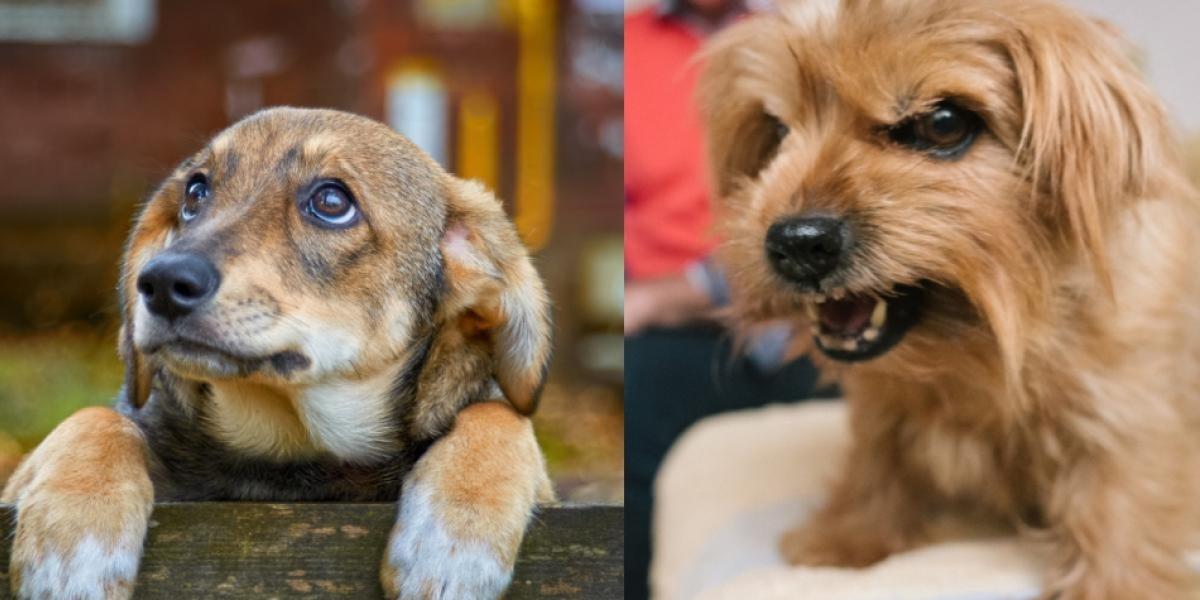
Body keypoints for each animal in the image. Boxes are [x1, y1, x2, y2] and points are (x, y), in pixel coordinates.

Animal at [0, 108, 552, 600]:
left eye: (331, 200)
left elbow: (500, 415)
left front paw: (455, 544)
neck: (288, 450)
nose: (159, 282)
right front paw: (73, 544)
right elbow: (97, 417)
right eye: (196, 192)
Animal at [700, 0, 1200, 597]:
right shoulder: (884, 406)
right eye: (776, 130)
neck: (987, 349)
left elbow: (1121, 493)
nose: (796, 243)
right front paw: (850, 535)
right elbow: (877, 458)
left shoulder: (1129, 409)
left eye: (943, 124)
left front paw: (1116, 581)